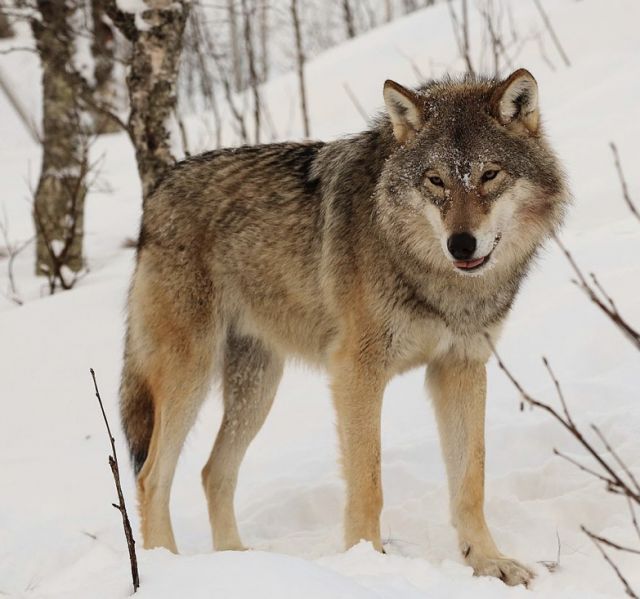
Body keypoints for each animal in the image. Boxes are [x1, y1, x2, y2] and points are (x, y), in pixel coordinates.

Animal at [120, 68, 567, 586]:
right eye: (435, 180)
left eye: (489, 175)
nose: (460, 244)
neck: (433, 277)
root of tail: (157, 191)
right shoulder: (357, 372)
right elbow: (368, 482)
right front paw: (368, 563)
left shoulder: (460, 368)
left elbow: (470, 481)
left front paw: (488, 562)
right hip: (189, 377)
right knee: (152, 476)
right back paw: (166, 568)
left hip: (257, 388)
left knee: (214, 472)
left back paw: (241, 562)